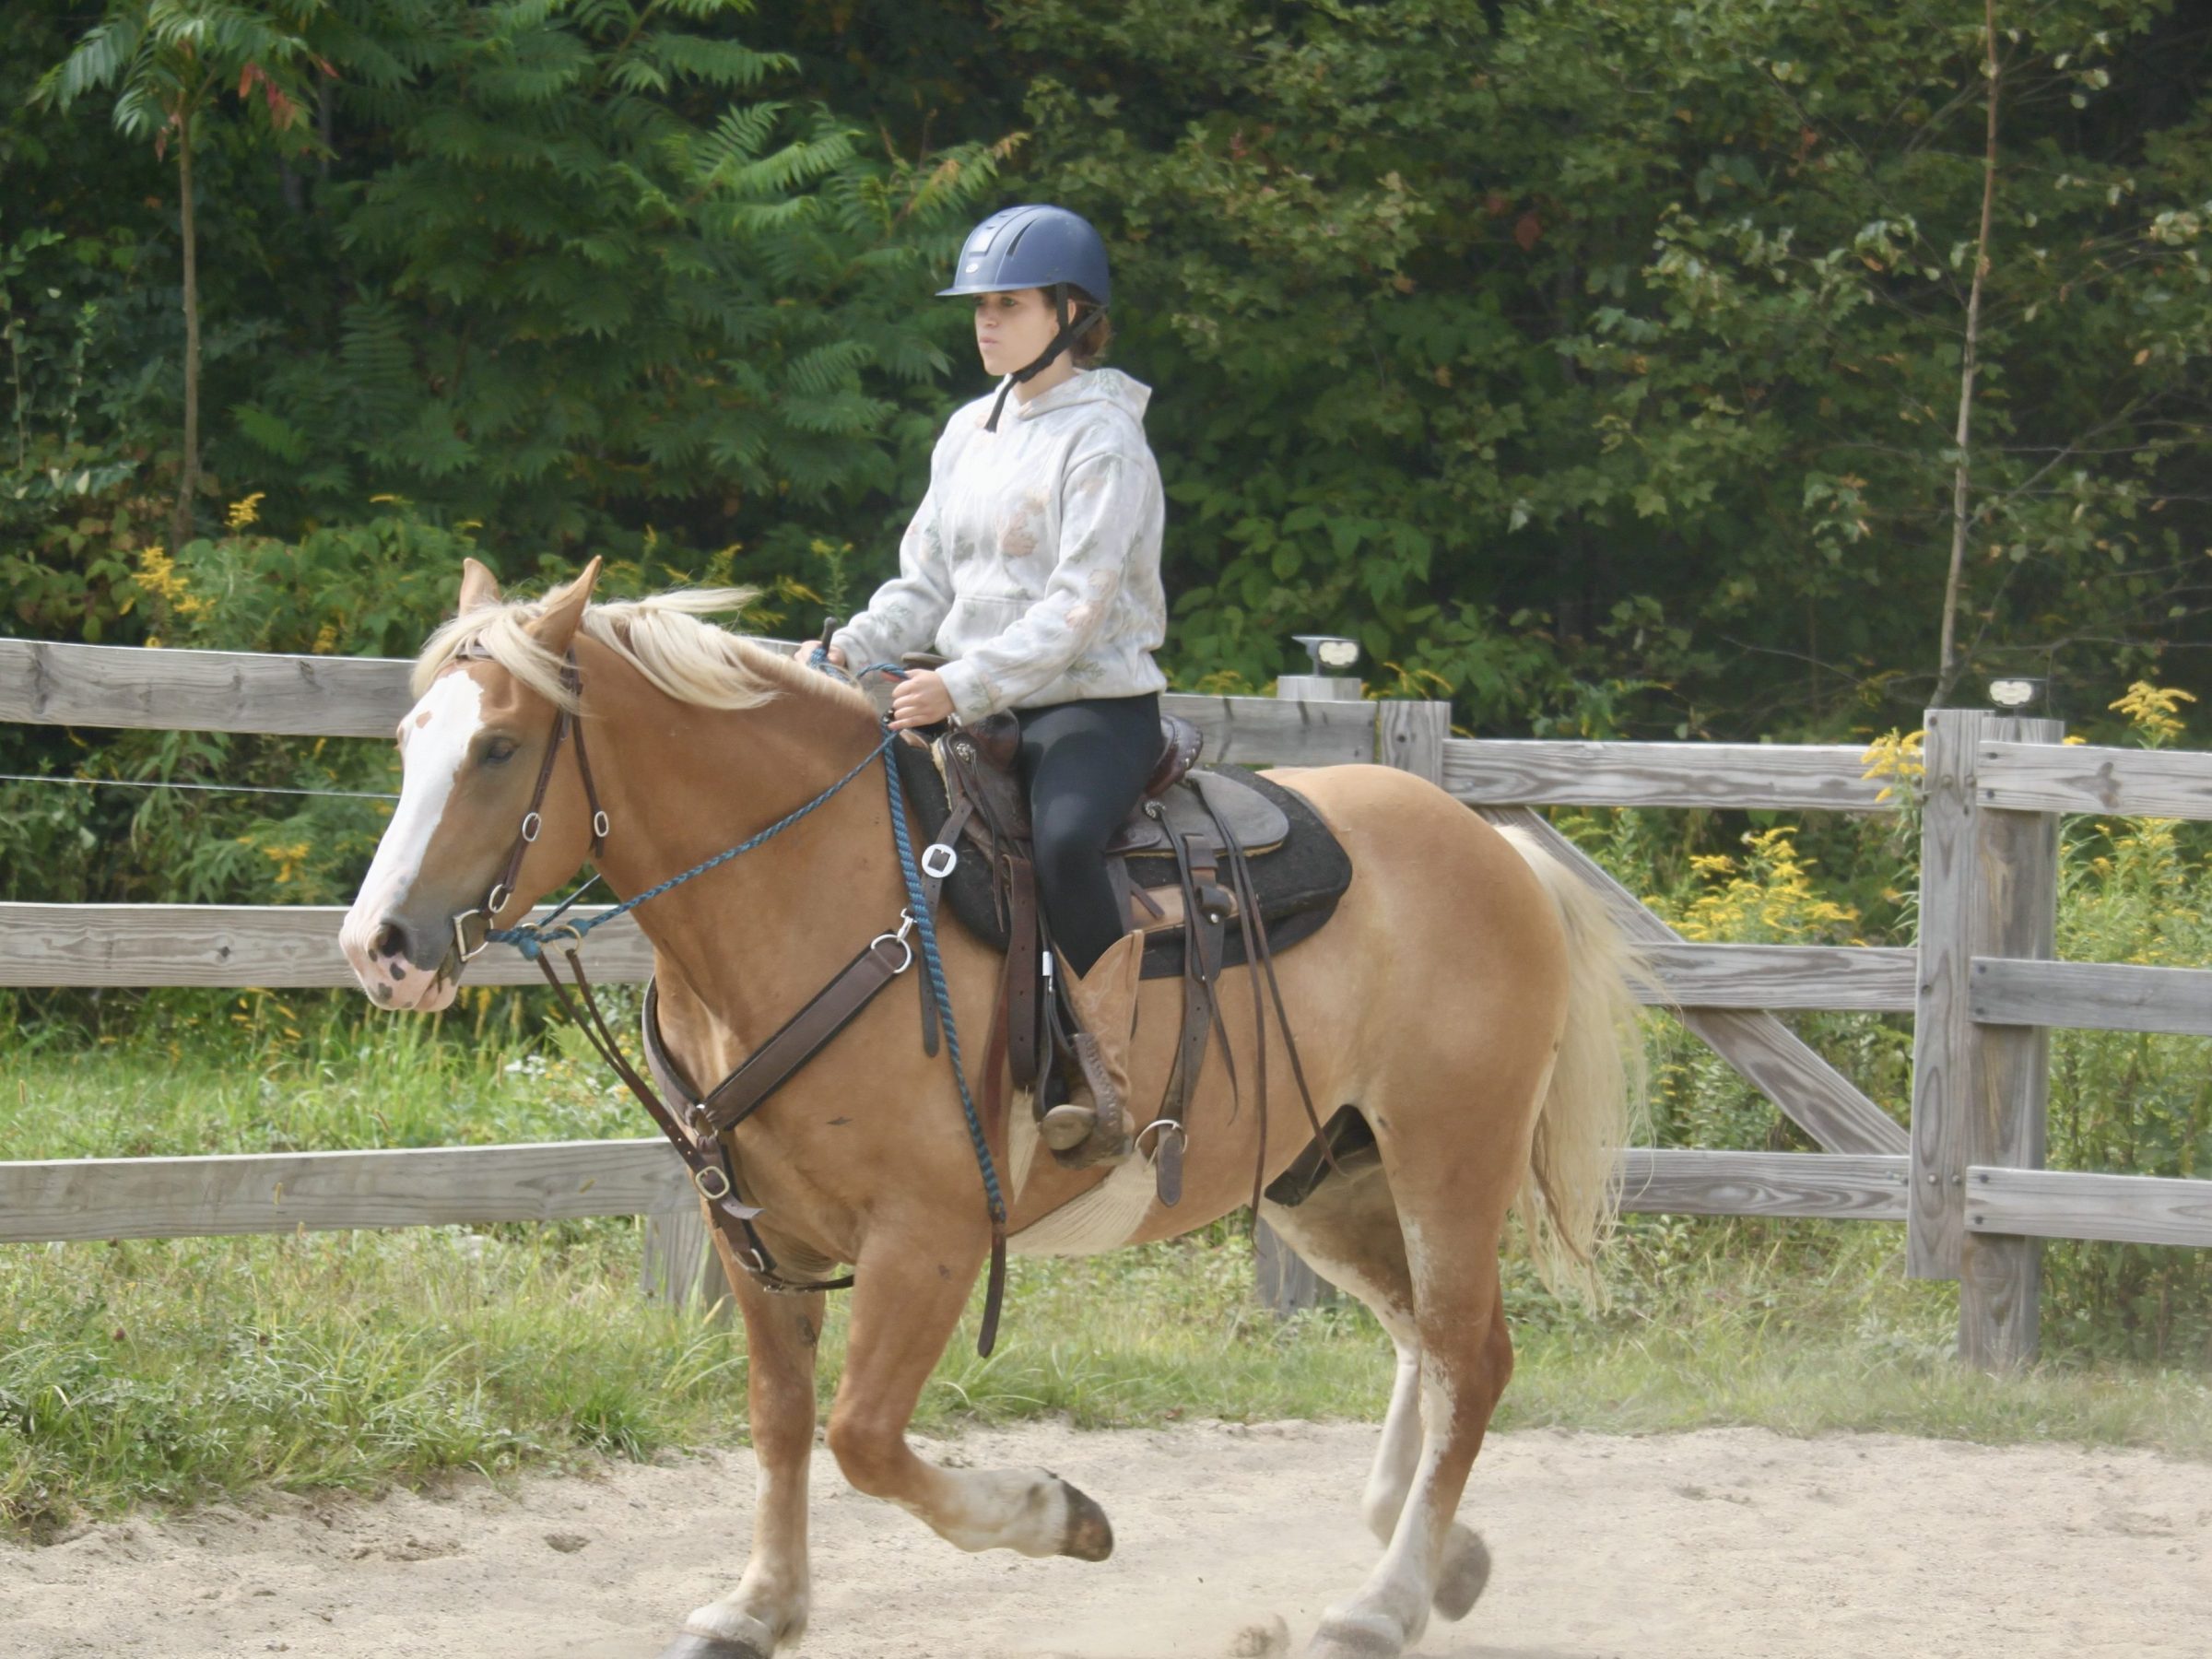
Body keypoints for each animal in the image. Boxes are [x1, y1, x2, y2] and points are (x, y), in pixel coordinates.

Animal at [338, 557, 1646, 1659]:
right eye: (409, 739)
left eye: (499, 747)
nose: (378, 949)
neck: (812, 893)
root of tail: (1492, 847)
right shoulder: (755, 1235)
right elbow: (780, 1419)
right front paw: (760, 1607)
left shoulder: (931, 1237)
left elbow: (862, 1436)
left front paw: (1058, 1515)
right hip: (1323, 1177)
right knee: (1426, 1343)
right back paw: (1437, 1560)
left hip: (1448, 1159)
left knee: (1471, 1357)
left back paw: (1381, 1605)